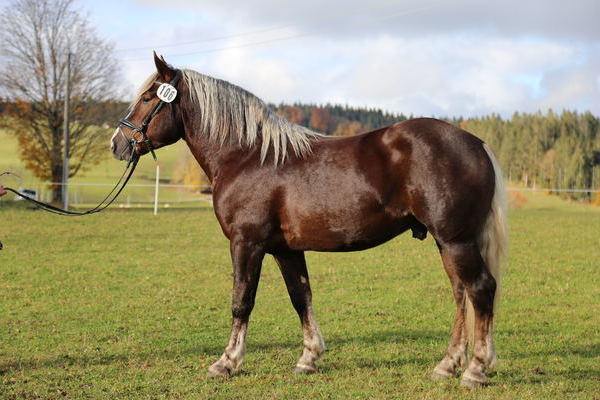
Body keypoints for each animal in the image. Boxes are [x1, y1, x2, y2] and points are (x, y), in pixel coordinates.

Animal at [111, 54, 506, 388]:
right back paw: (447, 365)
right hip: (447, 242)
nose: (118, 143)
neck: (249, 156)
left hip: (456, 240)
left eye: (148, 97)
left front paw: (226, 362)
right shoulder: (285, 250)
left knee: (481, 289)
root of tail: (476, 143)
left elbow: (242, 300)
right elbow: (300, 297)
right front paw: (309, 358)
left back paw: (475, 369)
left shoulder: (246, 243)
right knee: (461, 293)